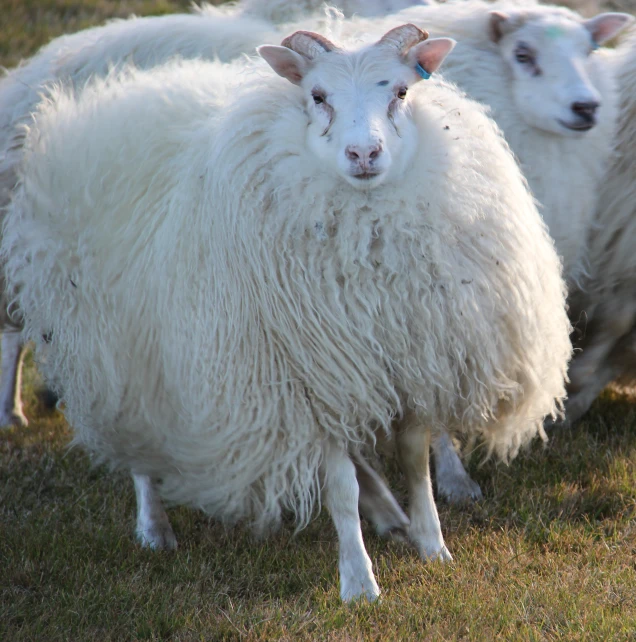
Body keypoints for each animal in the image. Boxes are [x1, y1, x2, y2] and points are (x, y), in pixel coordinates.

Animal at [2, 23, 572, 596]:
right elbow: (340, 487)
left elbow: (416, 464)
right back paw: (154, 526)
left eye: (401, 91)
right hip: (117, 347)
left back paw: (390, 516)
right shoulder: (307, 389)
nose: (364, 153)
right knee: (138, 443)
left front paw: (433, 546)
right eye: (317, 97)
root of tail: (109, 95)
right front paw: (359, 583)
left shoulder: (407, 365)